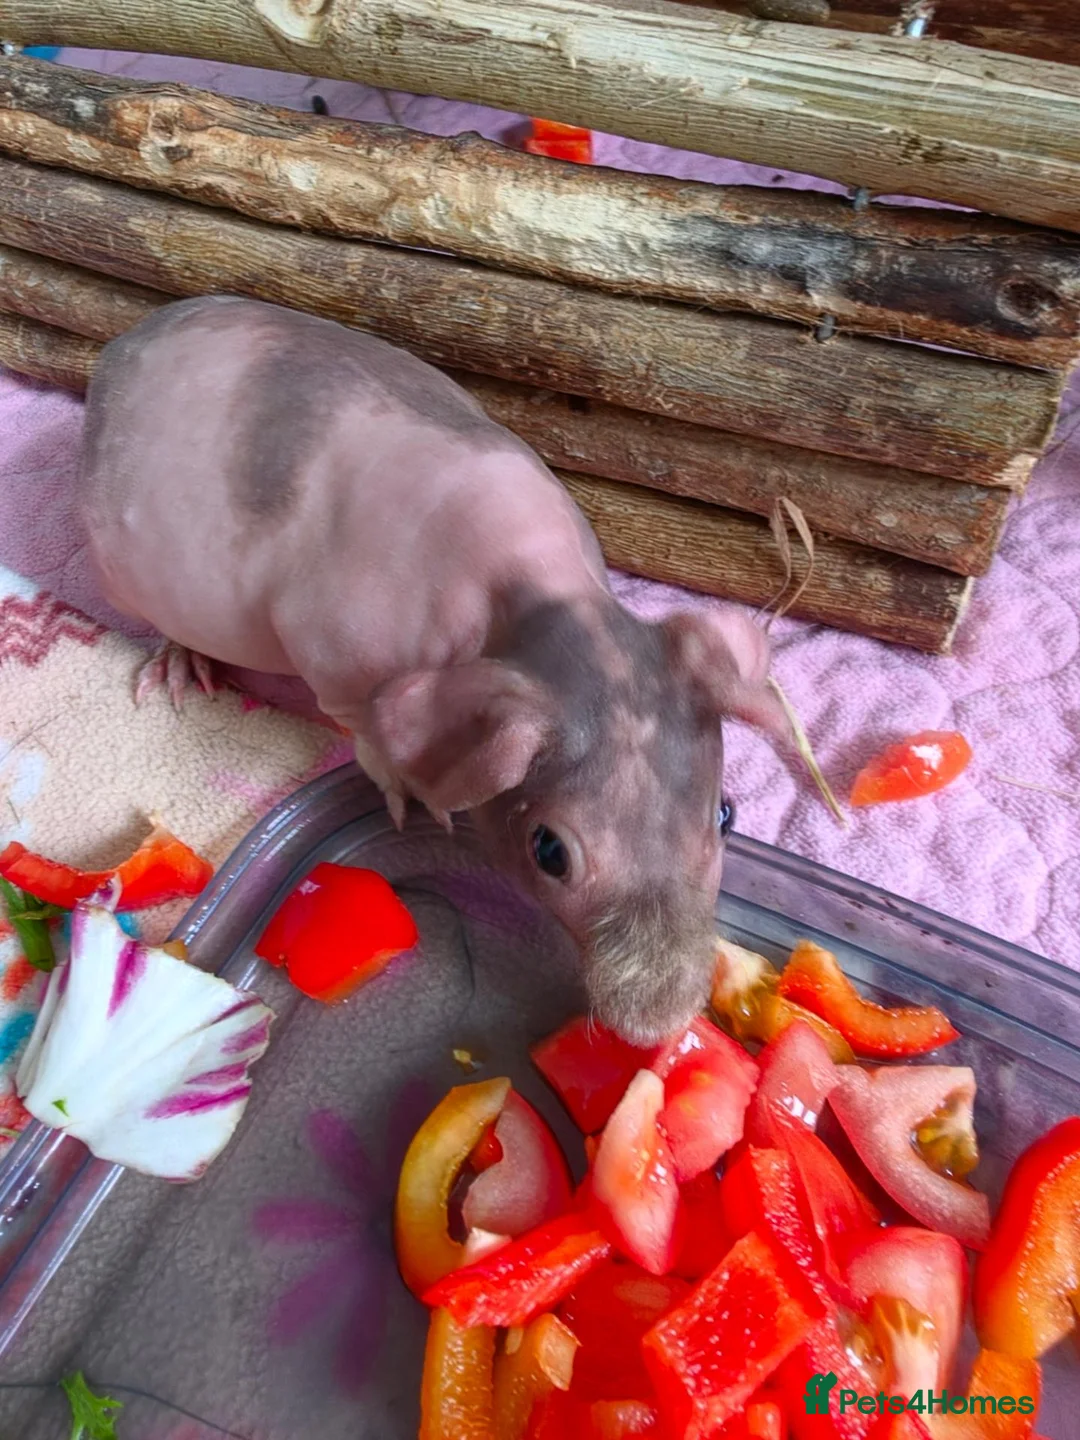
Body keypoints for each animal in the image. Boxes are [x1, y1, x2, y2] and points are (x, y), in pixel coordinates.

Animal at [79, 295, 787, 1044]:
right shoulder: (334, 651)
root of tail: (121, 350)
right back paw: (181, 663)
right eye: (550, 852)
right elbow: (364, 729)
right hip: (122, 566)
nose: (660, 1023)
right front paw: (412, 798)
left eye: (726, 815)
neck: (541, 597)